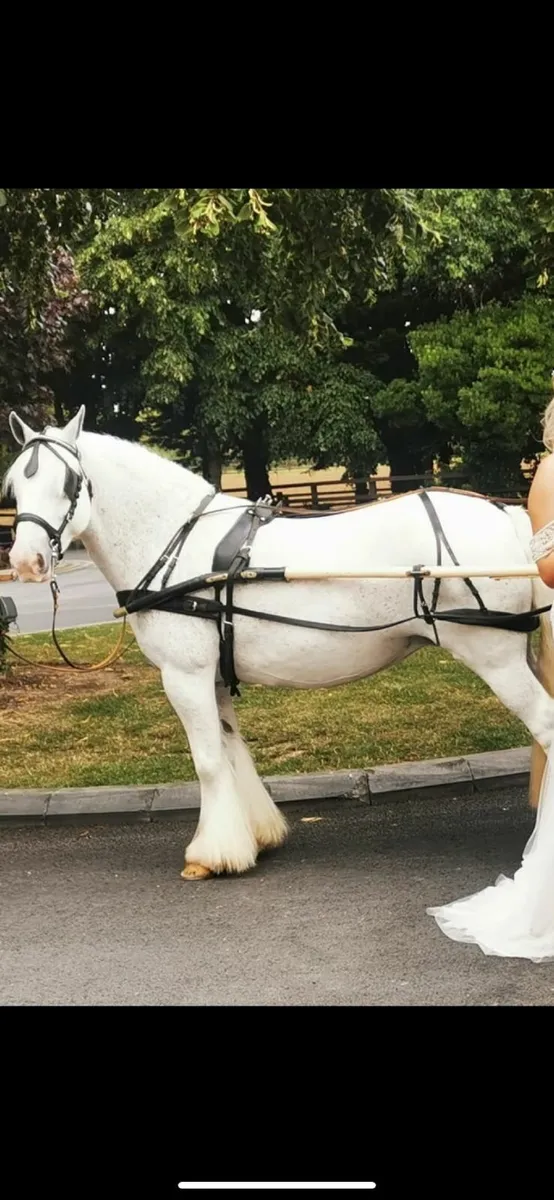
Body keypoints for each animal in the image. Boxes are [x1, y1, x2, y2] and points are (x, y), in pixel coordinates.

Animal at [5, 404, 554, 880]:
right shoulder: (213, 678)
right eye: (15, 484)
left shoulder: (184, 677)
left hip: (494, 657)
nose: (27, 562)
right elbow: (232, 752)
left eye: (70, 483)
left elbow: (208, 763)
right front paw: (253, 837)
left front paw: (211, 855)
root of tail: (509, 519)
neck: (176, 543)